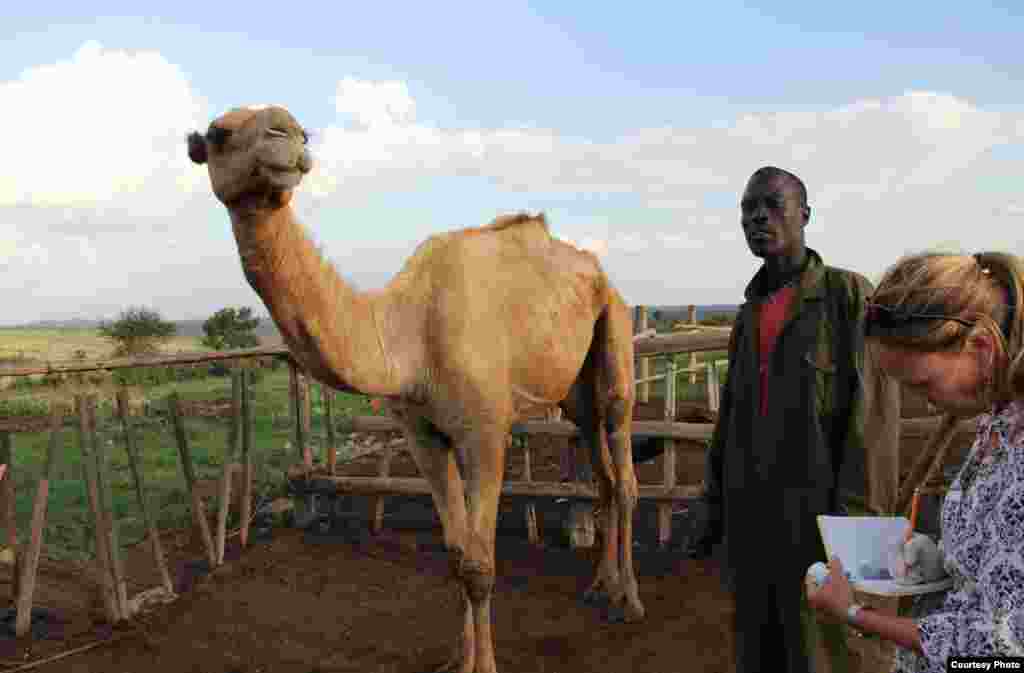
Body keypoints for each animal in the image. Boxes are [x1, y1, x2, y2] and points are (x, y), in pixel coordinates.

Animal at [188, 104, 643, 671]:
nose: (286, 134)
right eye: (218, 134)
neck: (408, 337)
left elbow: (480, 564)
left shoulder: (484, 433)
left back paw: (630, 600)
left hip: (616, 326)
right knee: (601, 471)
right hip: (574, 387)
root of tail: (599, 273)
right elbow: (456, 553)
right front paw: (457, 660)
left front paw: (484, 666)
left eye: (299, 131)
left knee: (623, 459)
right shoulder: (423, 433)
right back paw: (601, 586)